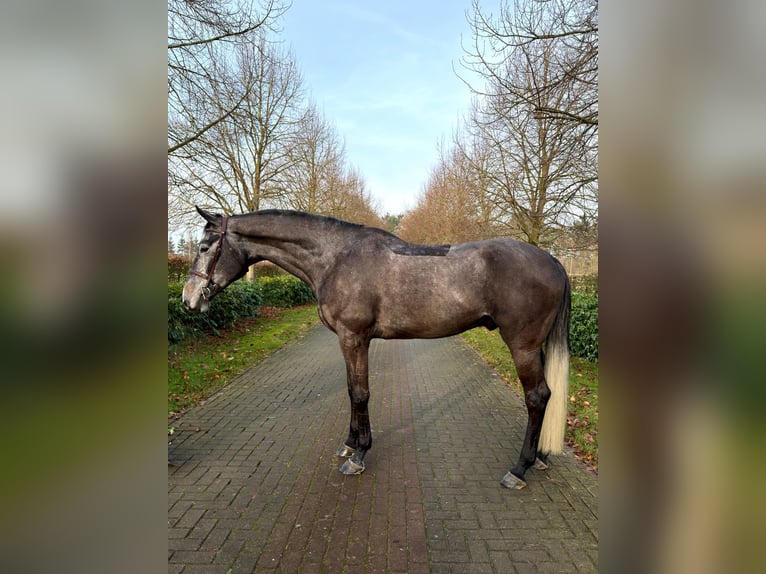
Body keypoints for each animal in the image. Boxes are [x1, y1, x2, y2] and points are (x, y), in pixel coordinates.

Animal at [182, 207, 570, 489]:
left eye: (204, 248)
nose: (188, 300)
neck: (336, 258)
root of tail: (551, 259)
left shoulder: (353, 337)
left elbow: (360, 393)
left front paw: (359, 456)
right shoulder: (347, 340)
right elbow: (350, 389)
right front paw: (350, 444)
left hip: (521, 345)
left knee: (536, 397)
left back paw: (519, 469)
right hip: (535, 347)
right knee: (546, 395)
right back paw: (540, 457)